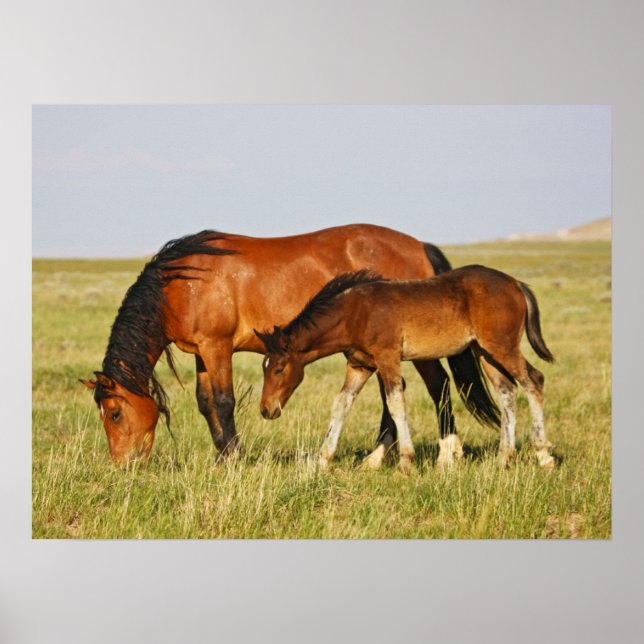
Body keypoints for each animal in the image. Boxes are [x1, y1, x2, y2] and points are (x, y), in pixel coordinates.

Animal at [80, 224, 499, 466]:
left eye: (114, 414)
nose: (123, 464)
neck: (182, 283)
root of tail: (418, 245)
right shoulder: (202, 352)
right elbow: (205, 404)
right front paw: (221, 456)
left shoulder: (217, 347)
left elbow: (223, 402)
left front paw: (233, 459)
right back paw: (378, 457)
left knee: (437, 385)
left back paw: (447, 453)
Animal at [256, 266, 555, 472]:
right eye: (264, 367)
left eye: (279, 368)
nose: (266, 410)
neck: (356, 312)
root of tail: (515, 283)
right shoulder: (359, 365)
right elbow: (341, 404)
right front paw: (322, 460)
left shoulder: (388, 357)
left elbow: (395, 402)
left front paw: (405, 462)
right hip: (485, 352)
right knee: (507, 391)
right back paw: (503, 457)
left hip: (502, 347)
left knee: (534, 380)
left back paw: (543, 455)